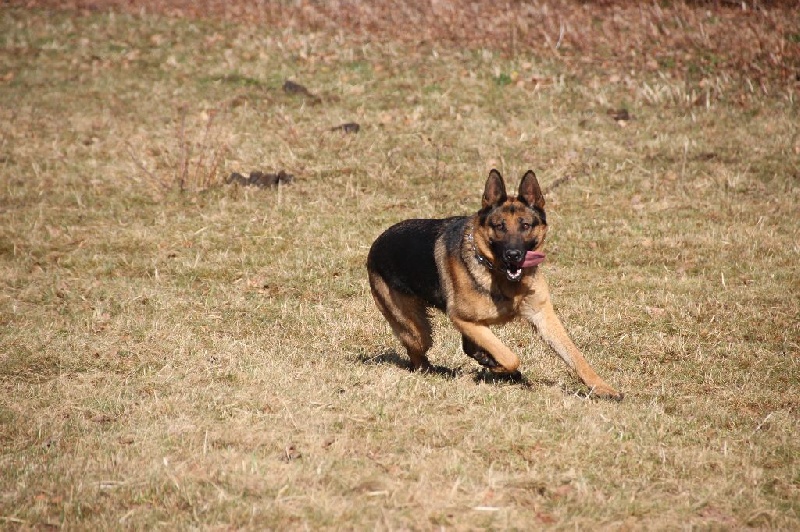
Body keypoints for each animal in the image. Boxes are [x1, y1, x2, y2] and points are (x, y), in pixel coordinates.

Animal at [366, 169, 620, 400]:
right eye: (499, 226)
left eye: (525, 225)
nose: (513, 255)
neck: (501, 279)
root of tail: (376, 242)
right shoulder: (463, 319)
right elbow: (510, 356)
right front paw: (499, 367)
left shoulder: (543, 318)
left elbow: (575, 355)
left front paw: (603, 388)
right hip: (418, 332)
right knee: (418, 355)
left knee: (465, 348)